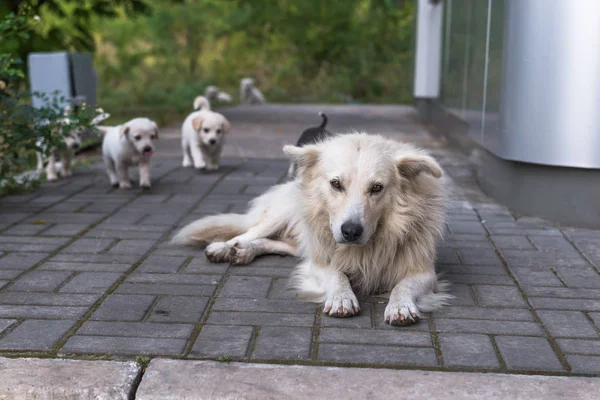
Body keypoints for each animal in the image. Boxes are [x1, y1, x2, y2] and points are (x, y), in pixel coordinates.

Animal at [172, 133, 450, 326]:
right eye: (336, 184)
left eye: (377, 188)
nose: (350, 232)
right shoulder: (319, 263)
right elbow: (337, 275)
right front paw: (341, 297)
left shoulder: (425, 273)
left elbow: (403, 286)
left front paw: (400, 306)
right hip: (281, 216)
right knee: (249, 232)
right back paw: (225, 248)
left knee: (277, 244)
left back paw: (245, 252)